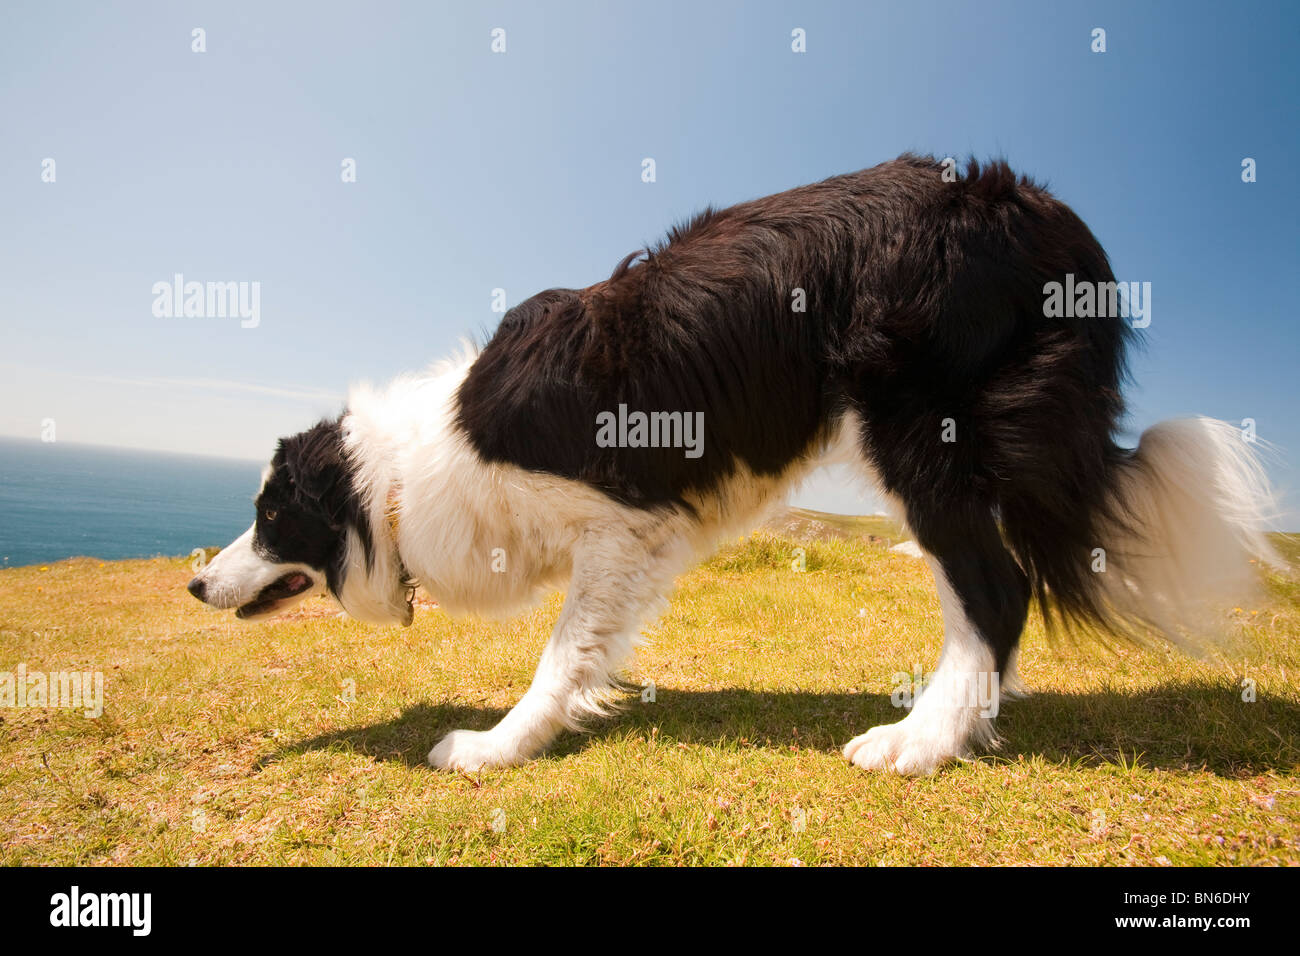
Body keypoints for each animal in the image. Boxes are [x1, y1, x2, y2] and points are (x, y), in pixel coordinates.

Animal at [185, 153, 1279, 775]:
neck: (402, 479)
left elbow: (555, 657)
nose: (194, 582)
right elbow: (584, 653)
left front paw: (494, 747)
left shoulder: (622, 522)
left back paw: (919, 743)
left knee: (995, 590)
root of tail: (1030, 203)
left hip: (915, 434)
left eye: (271, 514)